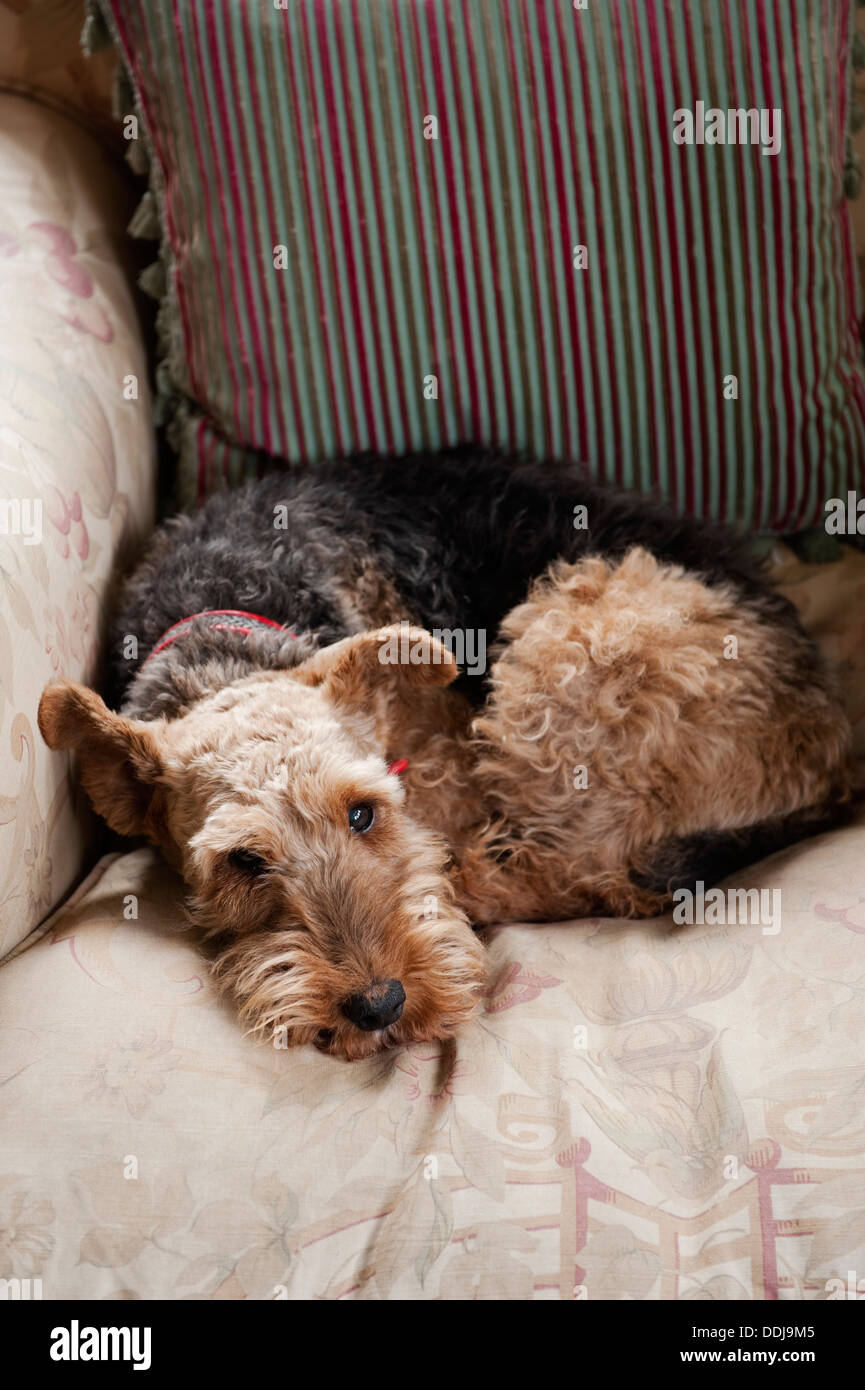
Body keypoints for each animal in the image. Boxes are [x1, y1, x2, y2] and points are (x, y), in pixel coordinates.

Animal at [37, 450, 851, 1056]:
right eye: (242, 861)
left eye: (364, 813)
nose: (379, 1006)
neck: (223, 630)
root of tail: (833, 746)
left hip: (573, 638)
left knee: (586, 873)